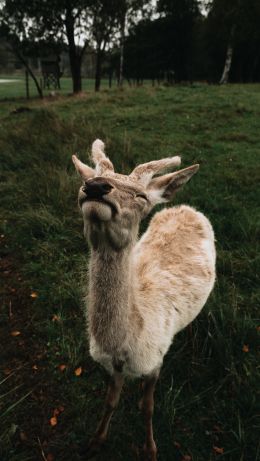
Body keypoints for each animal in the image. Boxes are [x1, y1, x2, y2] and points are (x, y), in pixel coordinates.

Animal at [72, 140, 216, 460]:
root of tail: (186, 207)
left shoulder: (155, 360)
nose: (95, 186)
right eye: (86, 181)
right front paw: (95, 441)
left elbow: (147, 407)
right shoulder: (112, 367)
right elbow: (110, 401)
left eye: (140, 196)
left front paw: (150, 448)